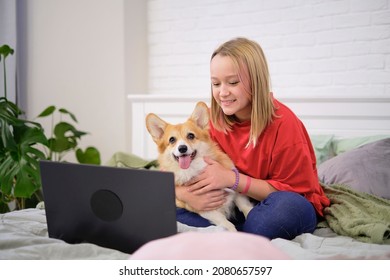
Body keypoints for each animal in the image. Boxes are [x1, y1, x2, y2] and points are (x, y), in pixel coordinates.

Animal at [145, 101, 253, 231]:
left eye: (191, 136)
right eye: (172, 140)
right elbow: (227, 224)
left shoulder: (236, 192)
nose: (182, 148)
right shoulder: (205, 208)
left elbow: (246, 207)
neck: (195, 167)